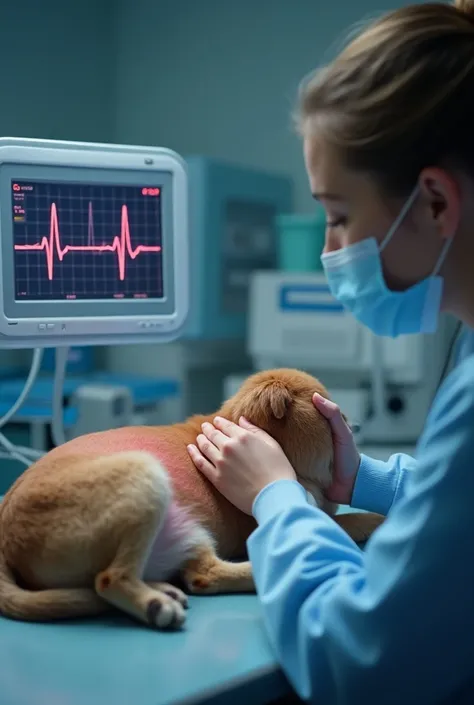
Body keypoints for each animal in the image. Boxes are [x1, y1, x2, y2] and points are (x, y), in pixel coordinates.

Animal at [0, 366, 384, 628]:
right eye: (330, 410)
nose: (356, 427)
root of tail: (6, 541)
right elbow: (351, 518)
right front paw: (376, 519)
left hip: (188, 529)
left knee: (200, 575)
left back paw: (166, 589)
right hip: (144, 475)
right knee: (113, 579)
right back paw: (157, 604)